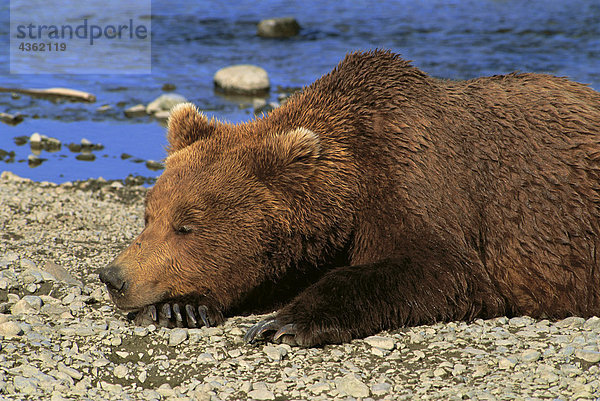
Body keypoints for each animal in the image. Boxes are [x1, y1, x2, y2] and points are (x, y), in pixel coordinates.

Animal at [98, 49, 600, 344]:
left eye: (186, 225)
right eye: (148, 216)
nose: (113, 278)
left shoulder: (417, 180)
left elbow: (441, 268)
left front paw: (282, 322)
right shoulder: (317, 238)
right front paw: (179, 306)